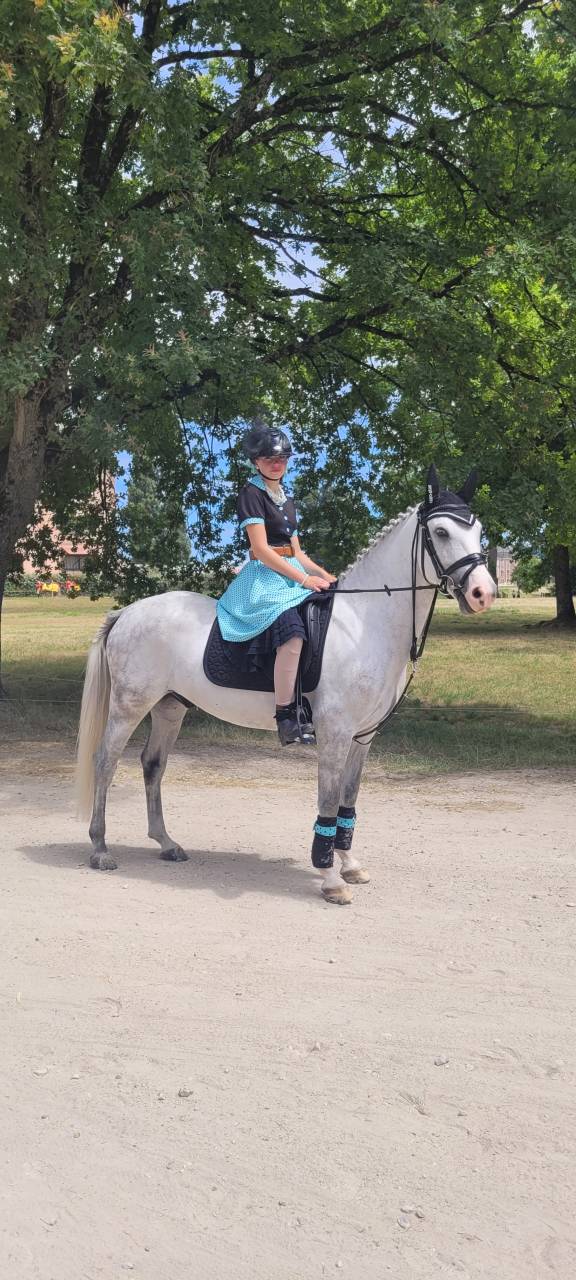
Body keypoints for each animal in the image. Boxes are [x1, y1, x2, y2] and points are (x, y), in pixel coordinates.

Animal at [76, 466, 496, 904]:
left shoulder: (363, 737)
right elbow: (328, 798)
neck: (364, 622)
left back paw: (166, 843)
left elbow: (349, 797)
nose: (483, 594)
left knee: (153, 765)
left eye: (479, 530)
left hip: (169, 707)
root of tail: (127, 612)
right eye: (442, 532)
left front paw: (350, 865)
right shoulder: (335, 732)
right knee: (105, 761)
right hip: (130, 706)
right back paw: (100, 848)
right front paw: (330, 880)